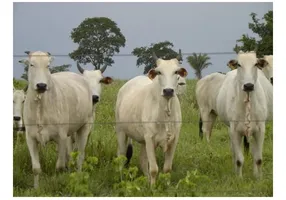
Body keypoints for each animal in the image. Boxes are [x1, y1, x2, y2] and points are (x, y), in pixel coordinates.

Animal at [23, 50, 94, 188]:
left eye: (48, 65)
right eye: (31, 65)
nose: (41, 85)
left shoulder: (61, 137)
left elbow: (60, 167)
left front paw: (59, 182)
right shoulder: (30, 138)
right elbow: (36, 168)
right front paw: (36, 188)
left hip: (85, 126)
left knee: (80, 156)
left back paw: (78, 177)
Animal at [115, 52, 187, 185]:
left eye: (176, 72)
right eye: (159, 72)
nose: (168, 91)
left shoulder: (173, 140)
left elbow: (167, 168)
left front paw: (166, 185)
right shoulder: (150, 139)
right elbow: (154, 169)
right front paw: (153, 187)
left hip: (143, 141)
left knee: (142, 161)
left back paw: (146, 180)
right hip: (121, 132)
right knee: (121, 156)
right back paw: (122, 178)